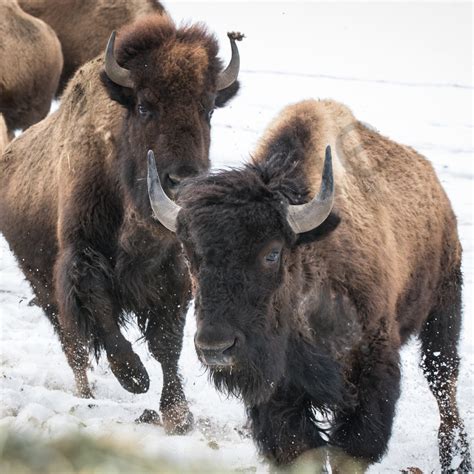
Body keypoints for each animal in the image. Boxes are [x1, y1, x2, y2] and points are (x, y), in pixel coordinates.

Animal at [147, 100, 470, 470]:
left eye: (272, 253)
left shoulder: (372, 368)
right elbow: (301, 449)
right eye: (189, 254)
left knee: (444, 381)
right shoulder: (280, 391)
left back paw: (456, 457)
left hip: (444, 309)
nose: (215, 347)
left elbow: (352, 448)